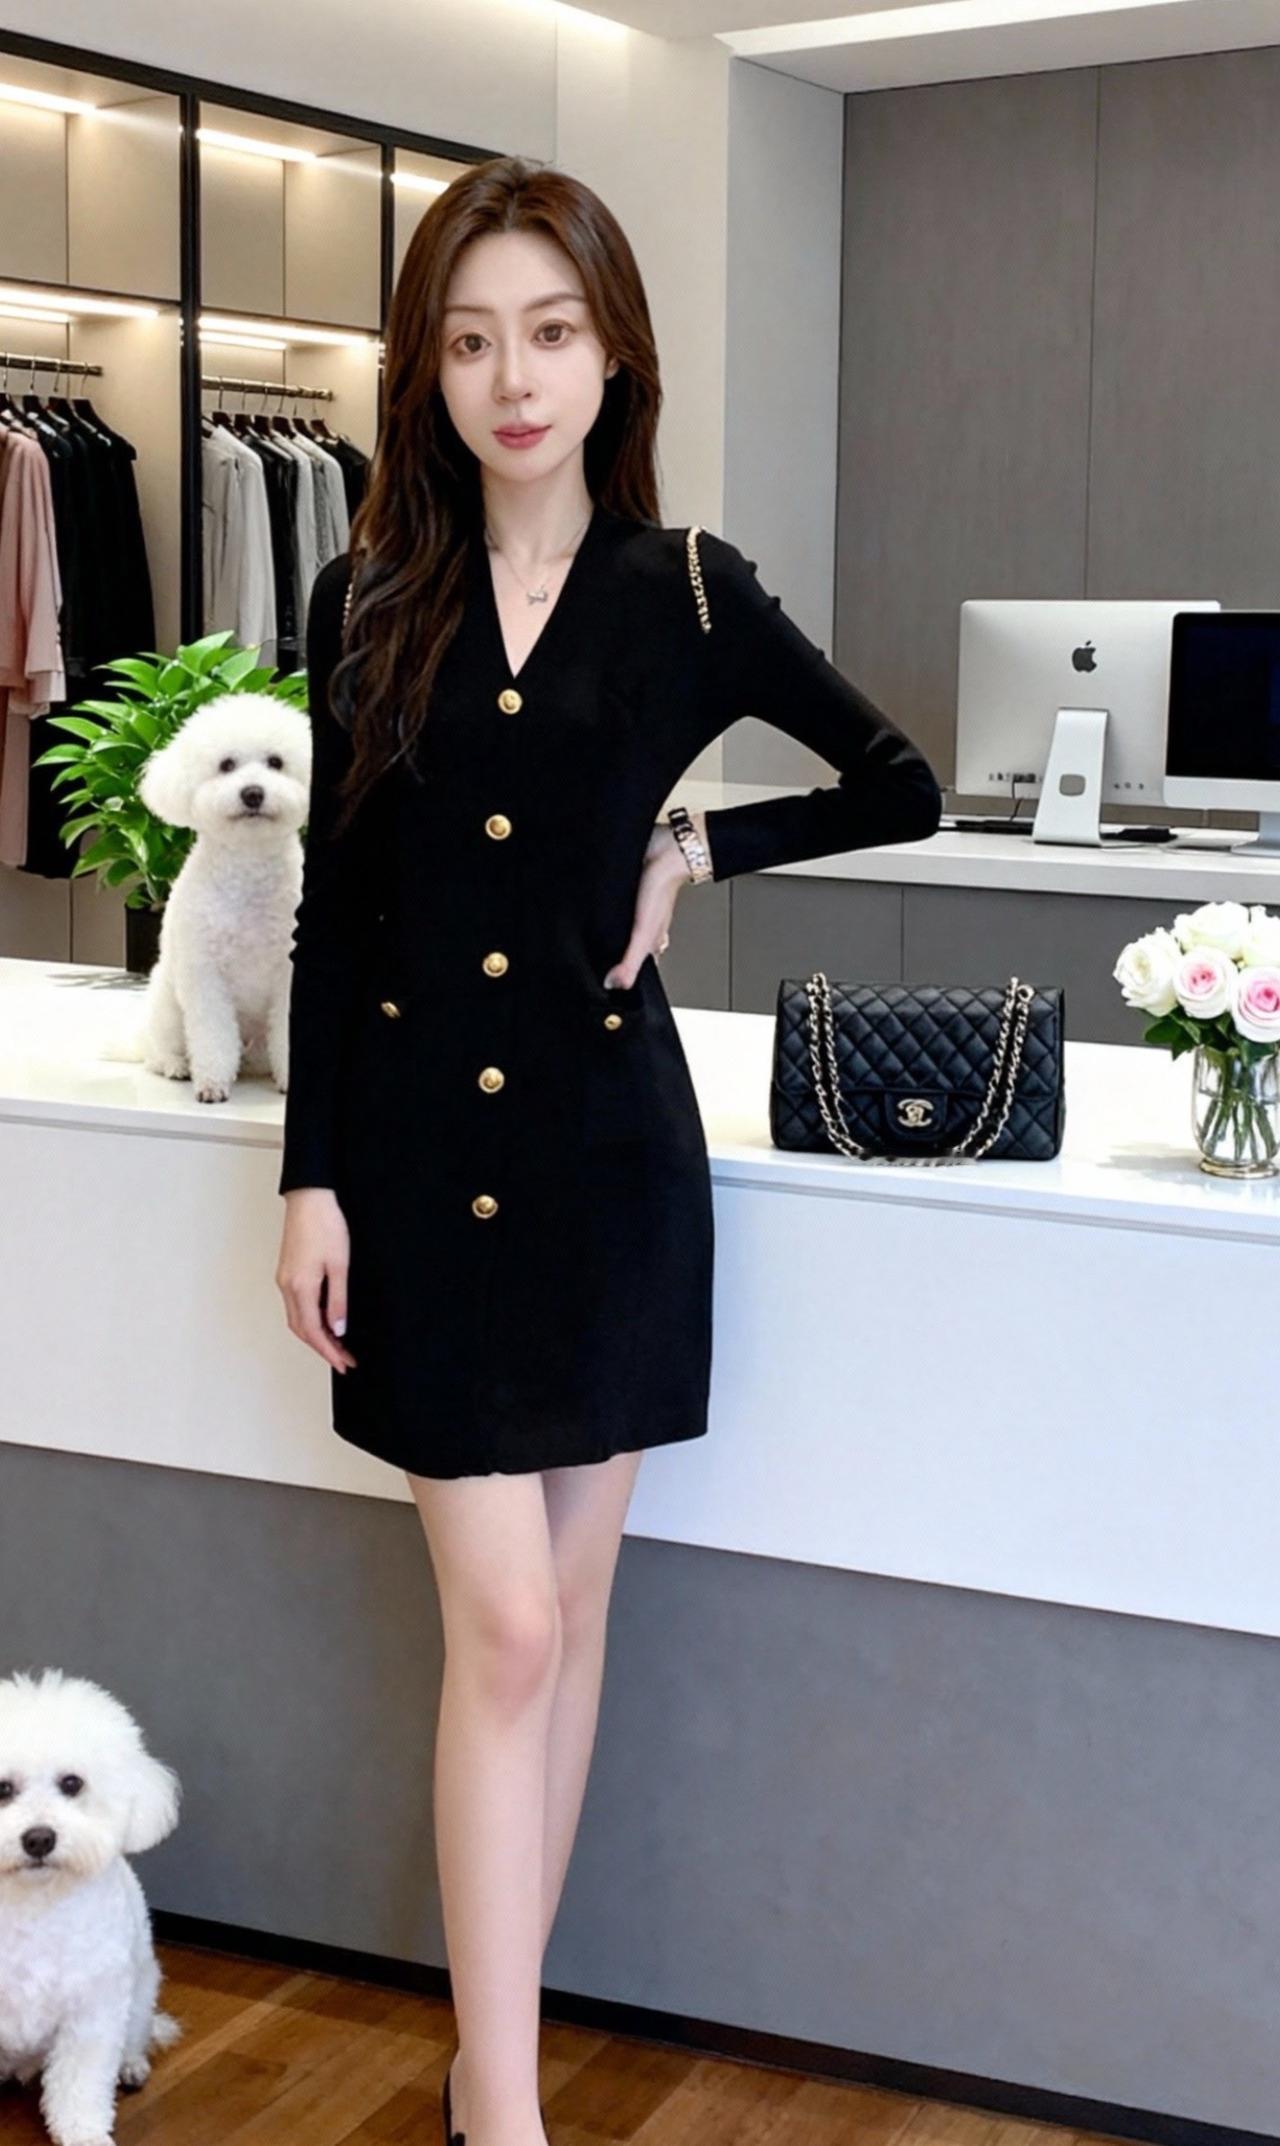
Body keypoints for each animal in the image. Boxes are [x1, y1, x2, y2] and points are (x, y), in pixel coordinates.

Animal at [0, 1667, 182, 2146]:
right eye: (3, 1789)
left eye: (72, 1783)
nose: (39, 1838)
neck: (32, 1903)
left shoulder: (91, 2013)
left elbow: (79, 2087)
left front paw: (85, 2134)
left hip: (139, 1992)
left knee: (134, 2035)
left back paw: (131, 2065)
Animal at [111, 689, 313, 1103]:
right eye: (226, 765)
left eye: (276, 762)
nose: (252, 793)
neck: (249, 870)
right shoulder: (205, 973)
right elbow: (212, 1033)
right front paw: (212, 1084)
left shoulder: (289, 971)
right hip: (168, 1003)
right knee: (158, 1052)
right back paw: (177, 1066)